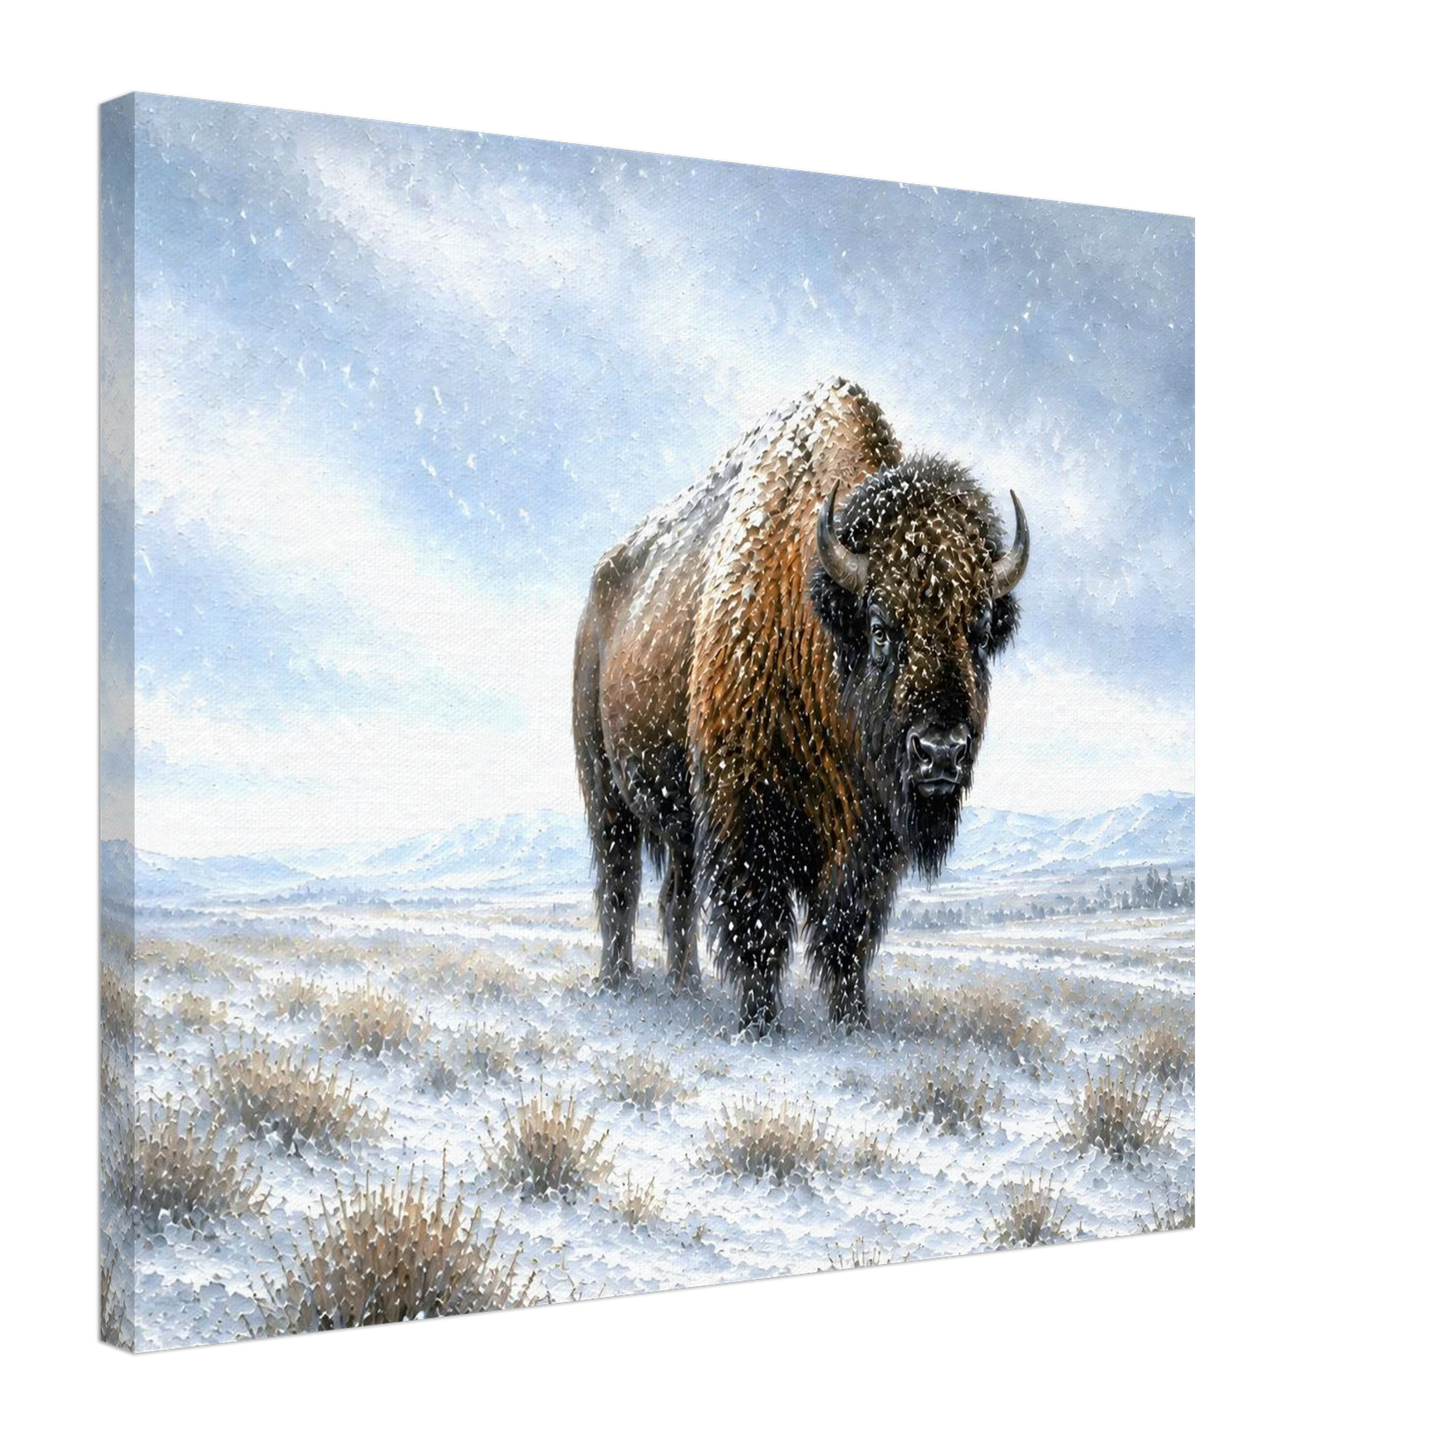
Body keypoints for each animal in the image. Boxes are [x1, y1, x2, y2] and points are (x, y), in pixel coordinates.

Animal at [572, 378, 1028, 1035]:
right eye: (881, 627)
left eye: (980, 631)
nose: (940, 752)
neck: (816, 618)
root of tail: (596, 596)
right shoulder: (745, 813)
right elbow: (758, 926)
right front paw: (760, 1025)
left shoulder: (870, 844)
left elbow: (848, 933)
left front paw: (853, 1022)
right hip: (604, 790)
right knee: (619, 884)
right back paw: (618, 984)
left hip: (680, 816)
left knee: (675, 896)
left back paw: (685, 989)